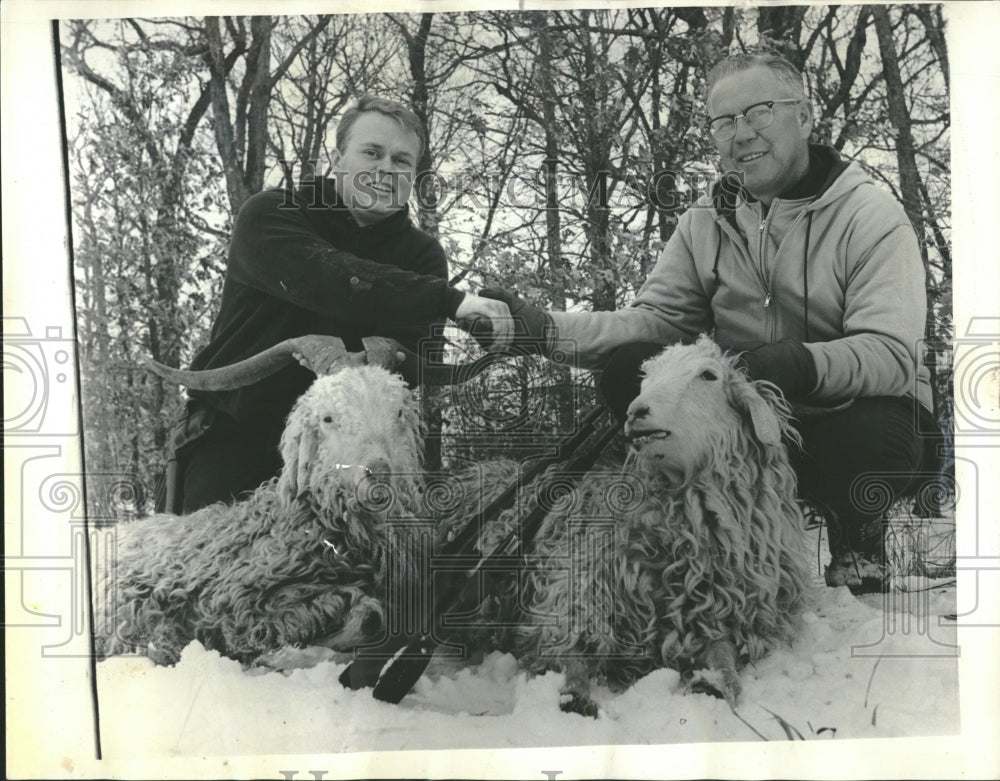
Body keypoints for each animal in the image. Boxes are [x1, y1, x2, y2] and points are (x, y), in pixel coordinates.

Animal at [442, 336, 808, 712]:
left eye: (709, 375)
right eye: (646, 377)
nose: (637, 412)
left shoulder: (724, 615)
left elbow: (724, 659)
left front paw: (711, 683)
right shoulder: (573, 589)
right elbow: (569, 649)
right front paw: (573, 695)